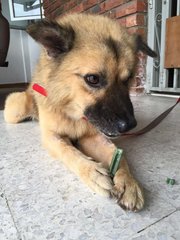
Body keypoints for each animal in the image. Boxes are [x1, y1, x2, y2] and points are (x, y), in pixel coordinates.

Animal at [3, 14, 156, 211]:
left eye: (128, 78)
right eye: (93, 79)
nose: (130, 125)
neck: (73, 113)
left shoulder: (93, 137)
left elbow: (119, 156)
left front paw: (129, 183)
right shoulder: (52, 136)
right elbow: (68, 151)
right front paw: (93, 172)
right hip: (17, 108)